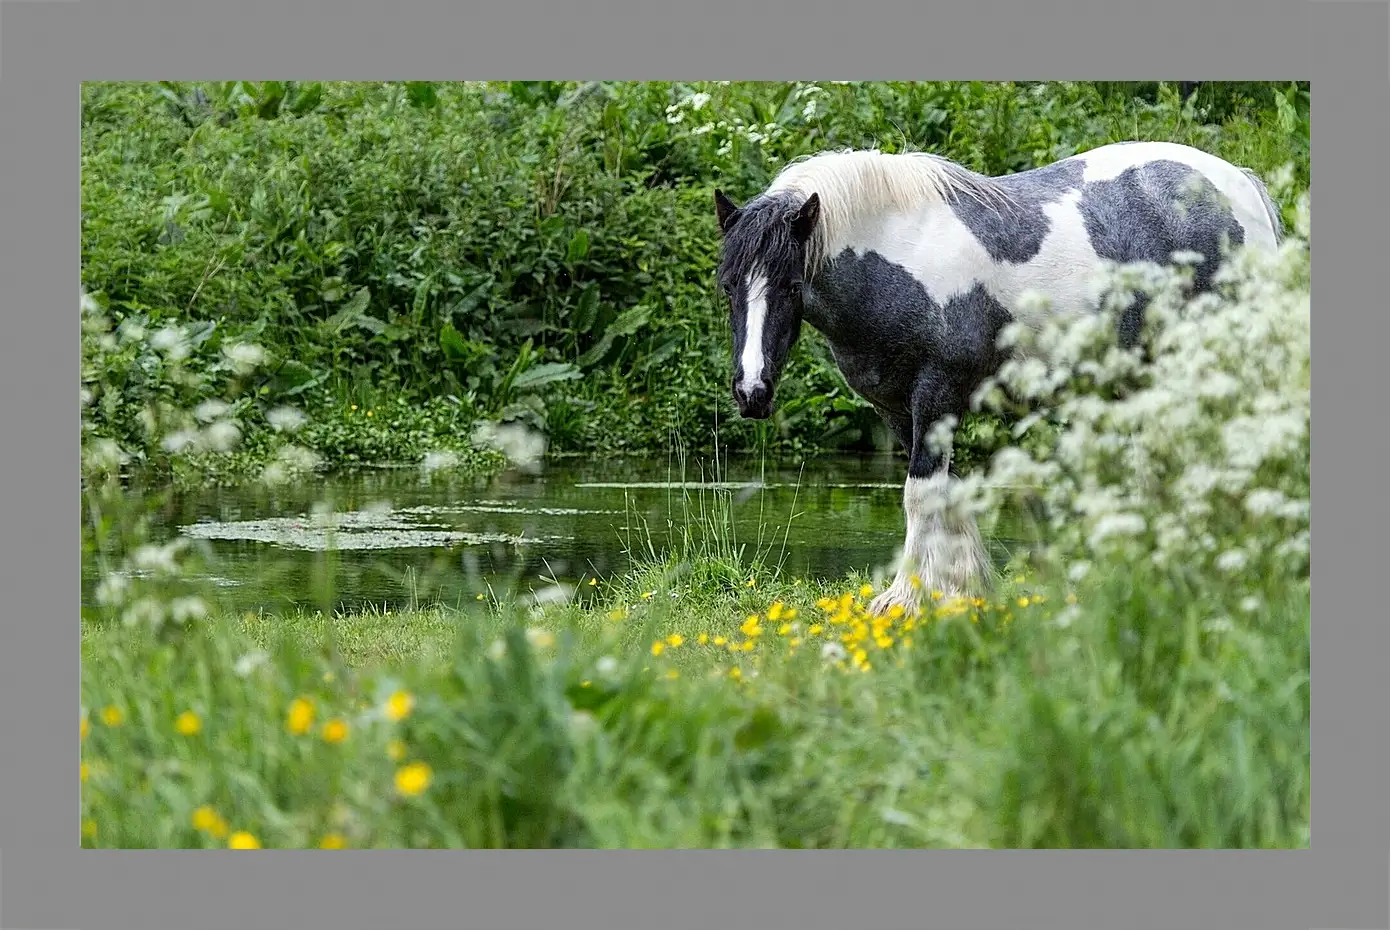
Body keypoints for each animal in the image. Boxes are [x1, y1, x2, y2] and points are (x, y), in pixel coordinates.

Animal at [712, 139, 1285, 617]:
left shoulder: (937, 395)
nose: (751, 392)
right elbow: (947, 494)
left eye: (791, 285)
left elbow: (920, 495)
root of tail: (1239, 185)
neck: (899, 254)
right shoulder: (898, 410)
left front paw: (908, 600)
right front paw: (964, 590)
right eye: (728, 286)